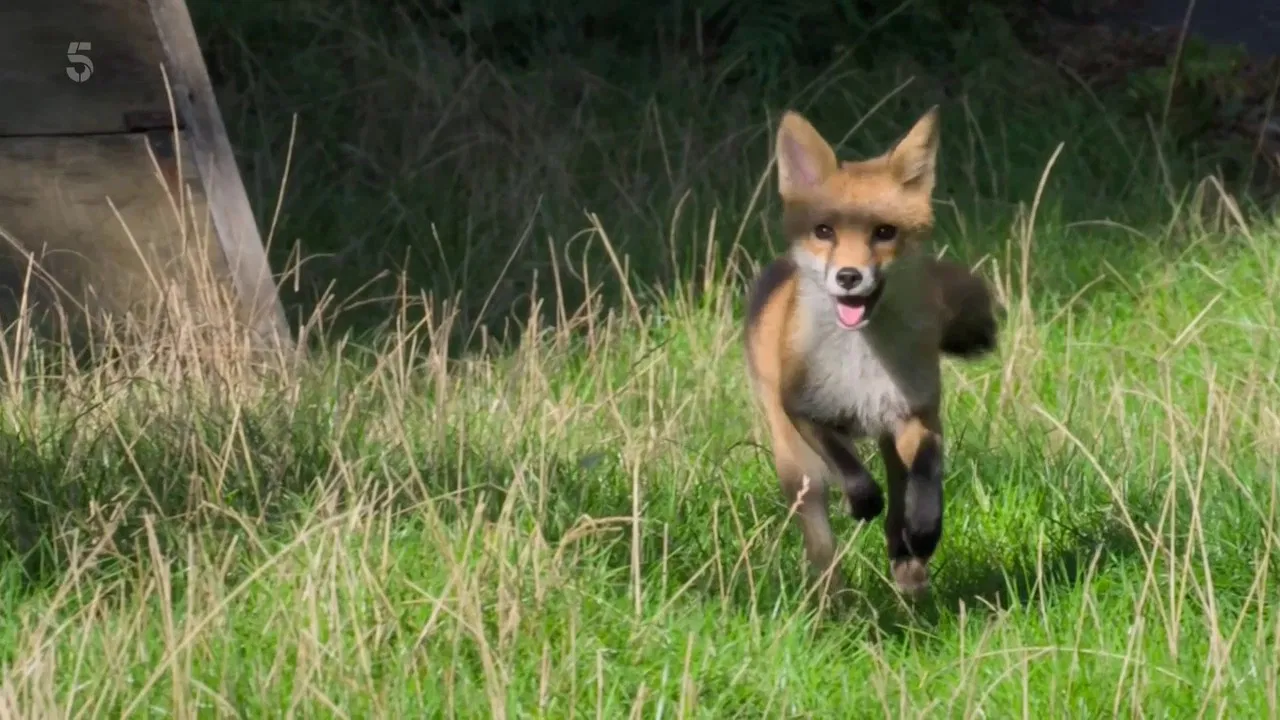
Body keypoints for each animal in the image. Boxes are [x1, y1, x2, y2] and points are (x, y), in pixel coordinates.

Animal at [744, 106, 998, 598]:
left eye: (885, 233)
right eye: (824, 231)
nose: (848, 276)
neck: (861, 367)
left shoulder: (916, 413)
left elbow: (927, 471)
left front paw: (924, 530)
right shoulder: (804, 410)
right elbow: (850, 469)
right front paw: (862, 502)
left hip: (887, 439)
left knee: (900, 498)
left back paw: (908, 562)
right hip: (796, 466)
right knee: (822, 539)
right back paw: (834, 598)